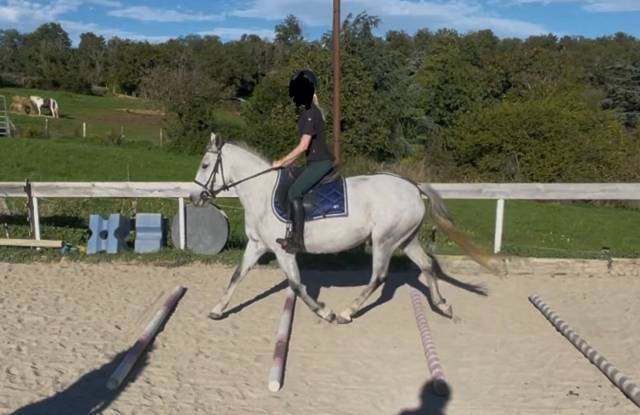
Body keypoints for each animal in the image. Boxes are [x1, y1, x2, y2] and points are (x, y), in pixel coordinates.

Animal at [191, 133, 500, 324]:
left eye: (205, 164)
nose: (195, 198)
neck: (261, 192)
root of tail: (413, 186)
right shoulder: (256, 245)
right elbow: (237, 275)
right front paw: (217, 310)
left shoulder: (283, 250)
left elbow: (297, 285)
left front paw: (324, 312)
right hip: (406, 239)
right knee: (426, 265)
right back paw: (442, 304)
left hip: (384, 241)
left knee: (379, 277)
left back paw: (347, 312)